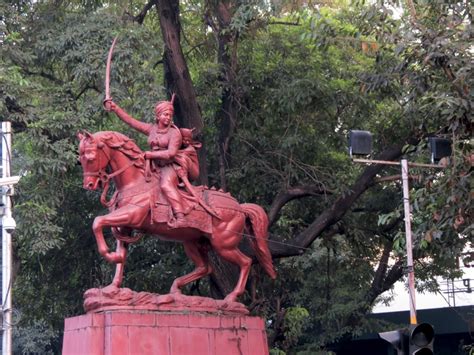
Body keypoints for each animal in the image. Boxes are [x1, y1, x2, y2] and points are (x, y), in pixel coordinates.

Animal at [77, 131, 276, 304]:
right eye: (80, 159)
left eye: (91, 157)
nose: (89, 185)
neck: (136, 181)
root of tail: (240, 208)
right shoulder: (125, 228)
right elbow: (121, 255)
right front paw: (113, 285)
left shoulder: (132, 216)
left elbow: (97, 222)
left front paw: (108, 254)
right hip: (192, 242)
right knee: (206, 267)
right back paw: (175, 290)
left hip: (223, 245)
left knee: (245, 262)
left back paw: (231, 297)